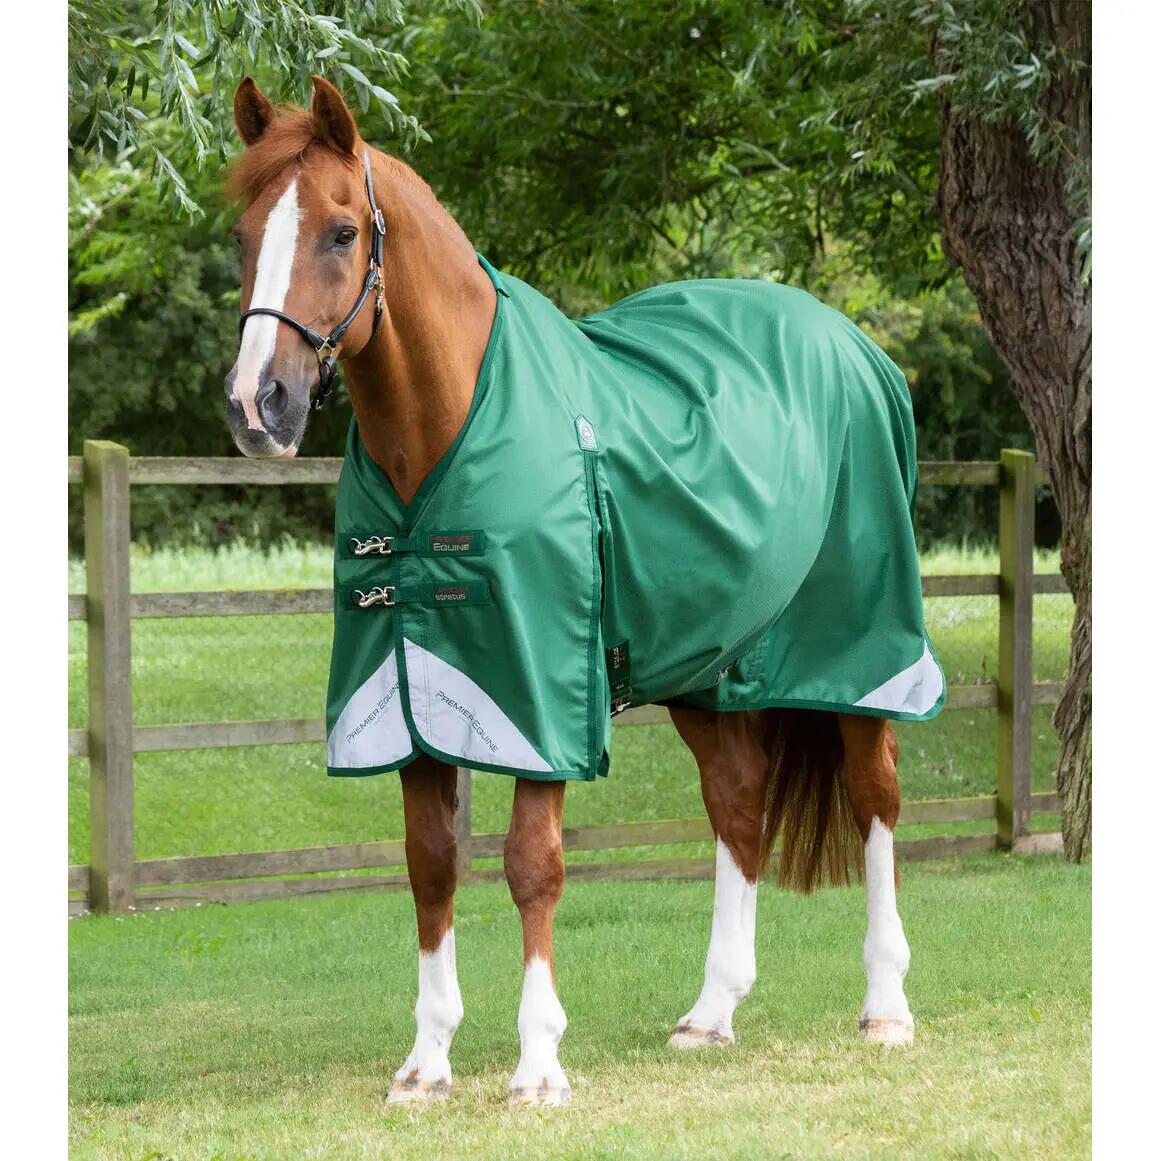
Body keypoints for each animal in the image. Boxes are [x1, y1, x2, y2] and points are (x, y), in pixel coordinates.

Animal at [224, 75, 932, 1107]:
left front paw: (537, 1064)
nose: (256, 405)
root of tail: (856, 347)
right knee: (739, 805)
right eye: (243, 235)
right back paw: (710, 1012)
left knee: (875, 796)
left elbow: (532, 866)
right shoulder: (404, 694)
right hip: (710, 670)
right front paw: (426, 1063)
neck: (445, 424)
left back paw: (885, 1007)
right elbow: (430, 866)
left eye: (343, 231)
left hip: (859, 646)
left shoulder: (538, 694)